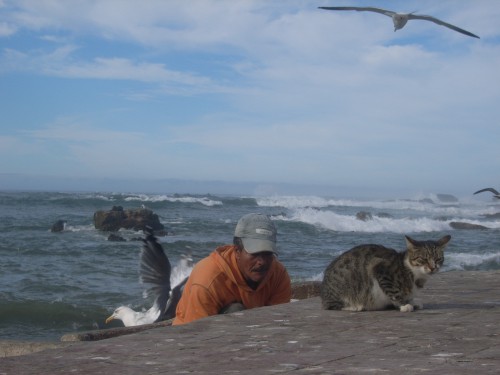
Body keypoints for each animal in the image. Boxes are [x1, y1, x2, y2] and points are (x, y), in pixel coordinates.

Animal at [322, 236, 452, 312]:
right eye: (423, 259)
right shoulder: (379, 268)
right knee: (329, 305)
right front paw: (404, 305)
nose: (433, 267)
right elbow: (394, 292)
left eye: (438, 259)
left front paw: (411, 301)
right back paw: (354, 306)